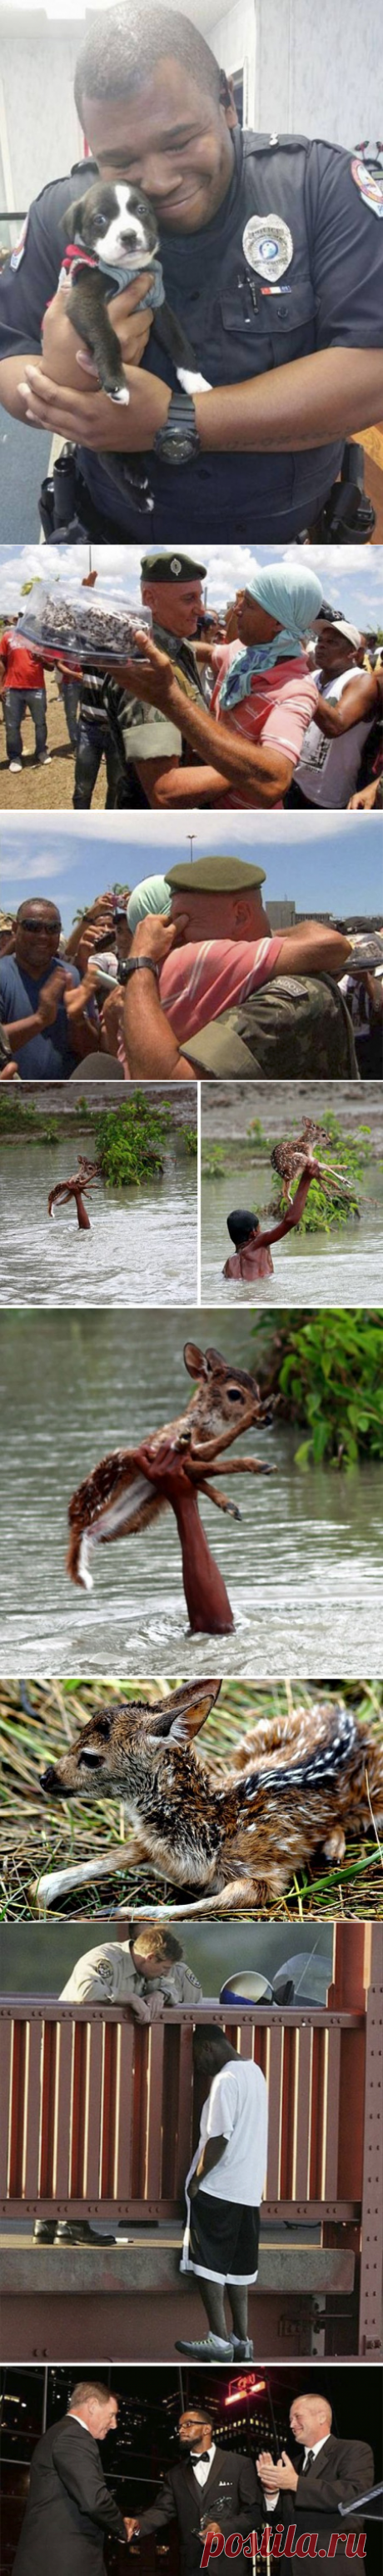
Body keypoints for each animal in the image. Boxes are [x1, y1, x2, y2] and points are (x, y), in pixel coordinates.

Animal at [59, 181, 211, 407]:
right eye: (99, 219)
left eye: (141, 210)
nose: (129, 235)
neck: (128, 270)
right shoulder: (84, 300)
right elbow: (107, 335)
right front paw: (115, 381)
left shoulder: (157, 302)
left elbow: (177, 337)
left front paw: (194, 379)